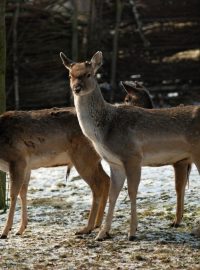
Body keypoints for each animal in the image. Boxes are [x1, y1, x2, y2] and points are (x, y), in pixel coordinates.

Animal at [0, 107, 109, 238]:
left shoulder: (17, 160)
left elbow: (13, 194)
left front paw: (5, 232)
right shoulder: (27, 166)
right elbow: (23, 193)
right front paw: (21, 229)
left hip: (83, 157)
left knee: (97, 187)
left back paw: (87, 228)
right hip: (94, 160)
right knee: (106, 179)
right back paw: (98, 224)